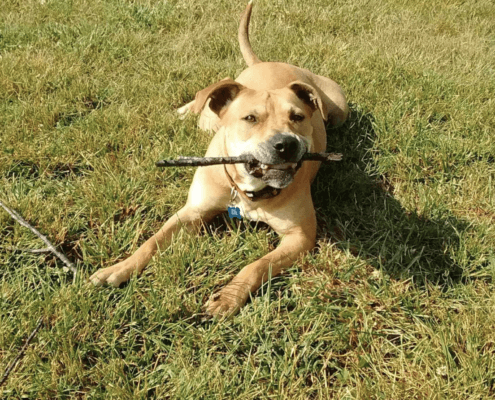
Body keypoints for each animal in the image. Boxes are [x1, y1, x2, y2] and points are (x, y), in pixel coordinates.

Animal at [91, 1, 350, 318]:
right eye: (250, 118)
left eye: (298, 117)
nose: (285, 144)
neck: (248, 190)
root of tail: (264, 62)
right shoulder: (191, 212)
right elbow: (151, 242)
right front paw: (118, 268)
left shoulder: (299, 236)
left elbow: (257, 265)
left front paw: (228, 297)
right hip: (210, 114)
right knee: (201, 103)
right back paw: (183, 110)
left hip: (338, 109)